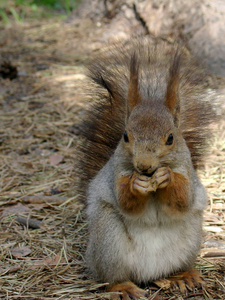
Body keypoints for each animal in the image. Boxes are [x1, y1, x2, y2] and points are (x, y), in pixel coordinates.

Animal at [78, 38, 216, 298]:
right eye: (125, 136)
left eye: (171, 138)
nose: (144, 166)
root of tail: (148, 272)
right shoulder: (116, 172)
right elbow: (125, 201)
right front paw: (136, 184)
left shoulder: (187, 171)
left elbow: (183, 198)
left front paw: (166, 177)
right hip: (108, 241)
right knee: (111, 278)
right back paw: (123, 288)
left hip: (191, 237)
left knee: (174, 268)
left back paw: (184, 276)